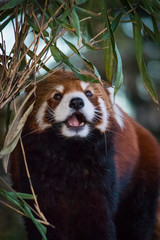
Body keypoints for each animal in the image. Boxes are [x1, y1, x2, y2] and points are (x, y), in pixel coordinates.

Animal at [10, 70, 160, 240]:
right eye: (57, 96)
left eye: (88, 93)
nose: (76, 102)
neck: (71, 149)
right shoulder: (33, 170)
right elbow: (45, 219)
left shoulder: (102, 171)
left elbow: (96, 220)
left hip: (142, 178)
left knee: (137, 221)